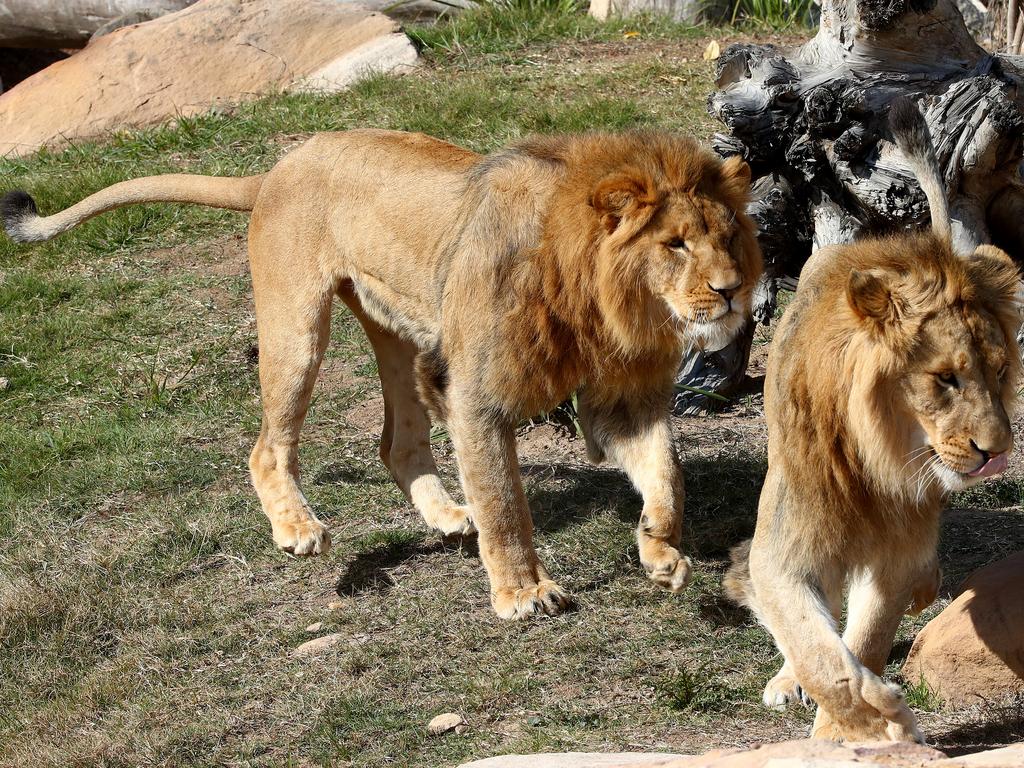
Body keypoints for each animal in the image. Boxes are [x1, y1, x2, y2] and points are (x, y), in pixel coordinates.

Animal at [2, 129, 761, 622]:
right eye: (675, 244)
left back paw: (450, 517)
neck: (602, 299)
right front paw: (523, 594)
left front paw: (660, 551)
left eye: (728, 236)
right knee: (267, 446)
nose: (731, 293)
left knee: (395, 441)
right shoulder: (478, 397)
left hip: (398, 331)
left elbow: (666, 473)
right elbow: (506, 505)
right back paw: (298, 530)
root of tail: (282, 163)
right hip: (296, 328)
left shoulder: (621, 398)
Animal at [724, 99, 1019, 741]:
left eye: (1001, 370)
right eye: (945, 379)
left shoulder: (895, 548)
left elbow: (868, 636)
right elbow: (818, 648)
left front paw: (848, 733)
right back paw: (788, 680)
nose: (998, 452)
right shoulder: (786, 542)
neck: (874, 460)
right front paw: (860, 717)